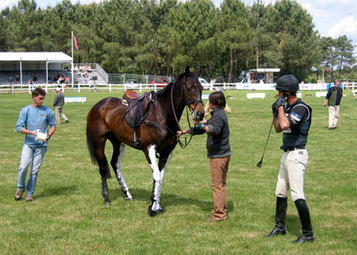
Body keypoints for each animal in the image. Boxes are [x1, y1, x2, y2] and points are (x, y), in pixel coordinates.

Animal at [85, 67, 204, 215]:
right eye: (188, 88)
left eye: (201, 88)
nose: (200, 114)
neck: (161, 115)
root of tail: (97, 106)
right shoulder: (149, 148)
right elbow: (157, 176)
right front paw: (152, 207)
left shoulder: (167, 151)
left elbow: (160, 177)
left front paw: (156, 204)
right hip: (99, 142)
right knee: (102, 168)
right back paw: (106, 197)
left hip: (118, 142)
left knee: (114, 164)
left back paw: (127, 194)